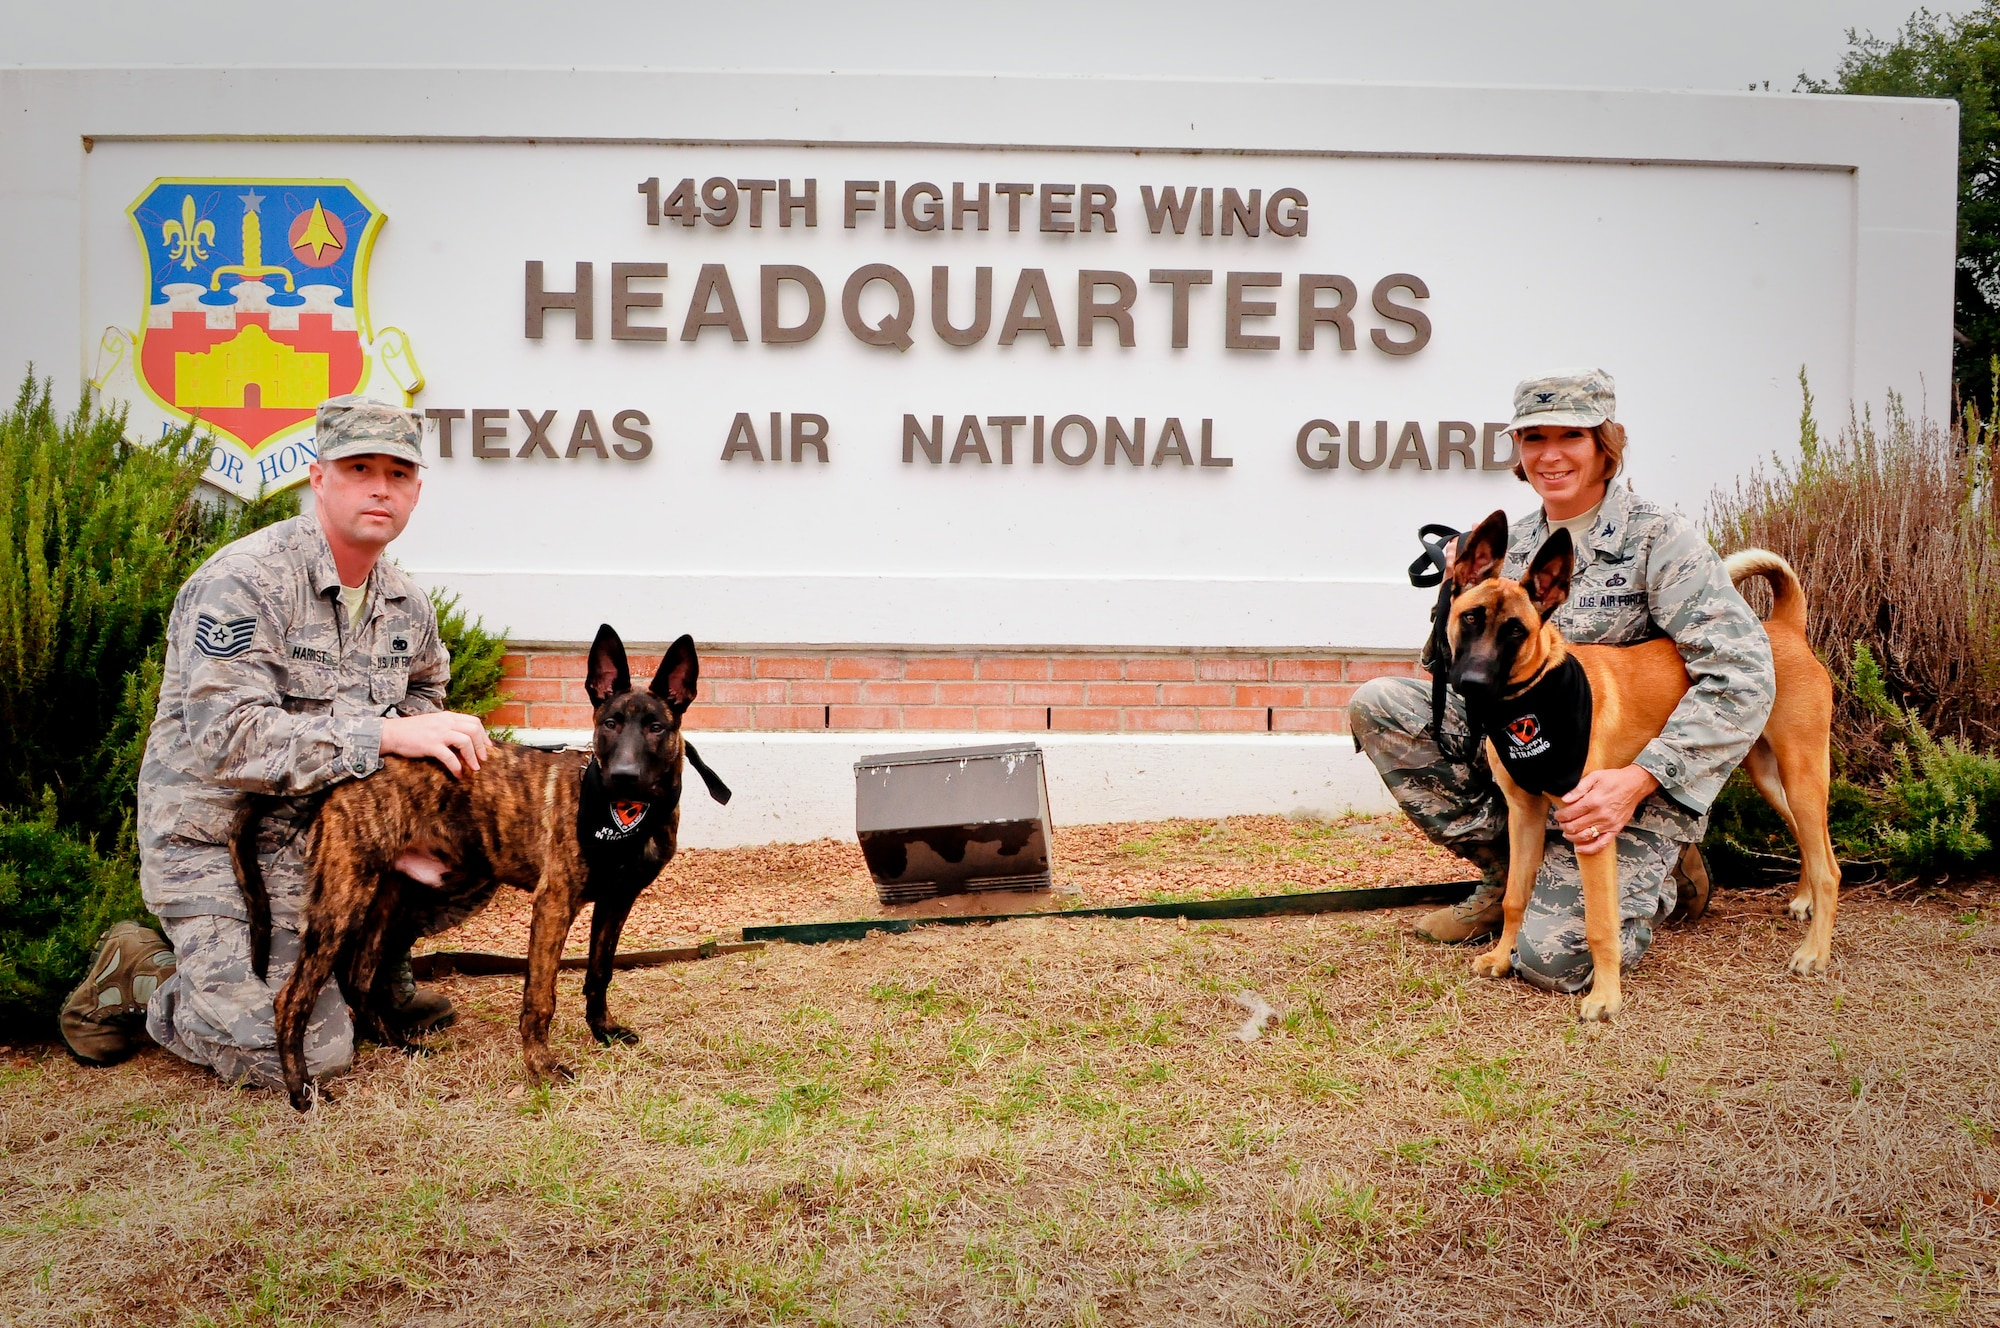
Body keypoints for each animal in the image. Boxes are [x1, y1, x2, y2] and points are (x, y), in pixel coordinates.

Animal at [242, 628, 728, 1104]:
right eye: (609, 723)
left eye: (656, 727)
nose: (622, 776)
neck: (629, 815)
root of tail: (351, 771)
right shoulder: (554, 903)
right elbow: (540, 996)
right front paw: (541, 1067)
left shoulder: (617, 901)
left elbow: (600, 971)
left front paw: (602, 1030)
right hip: (343, 904)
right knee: (292, 998)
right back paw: (302, 1091)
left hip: (394, 898)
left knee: (359, 978)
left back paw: (399, 1044)